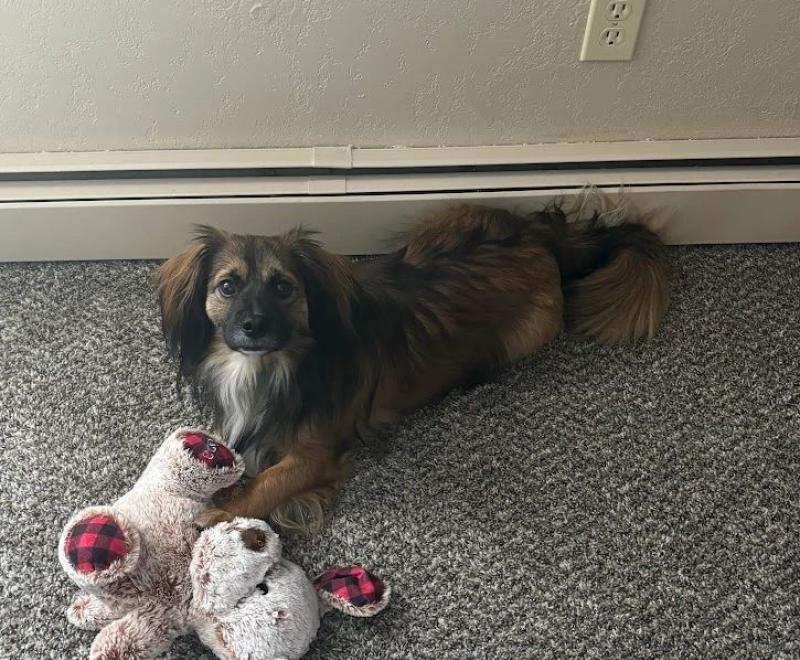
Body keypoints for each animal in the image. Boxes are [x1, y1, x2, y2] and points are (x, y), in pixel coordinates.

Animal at [156, 202, 668, 532]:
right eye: (227, 286)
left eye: (283, 286)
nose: (253, 325)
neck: (269, 366)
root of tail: (538, 236)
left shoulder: (315, 454)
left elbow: (264, 484)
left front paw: (217, 514)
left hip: (527, 332)